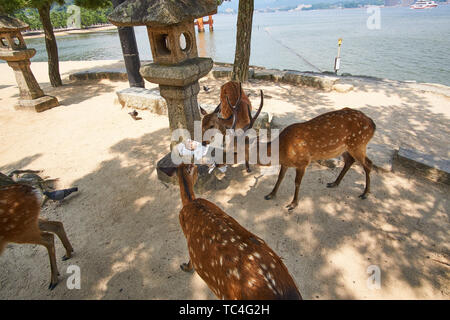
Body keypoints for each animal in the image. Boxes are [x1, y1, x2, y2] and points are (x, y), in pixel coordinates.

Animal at [162, 162, 302, 300]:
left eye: (195, 168)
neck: (190, 202)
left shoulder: (187, 236)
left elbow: (190, 258)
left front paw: (185, 266)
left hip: (225, 294)